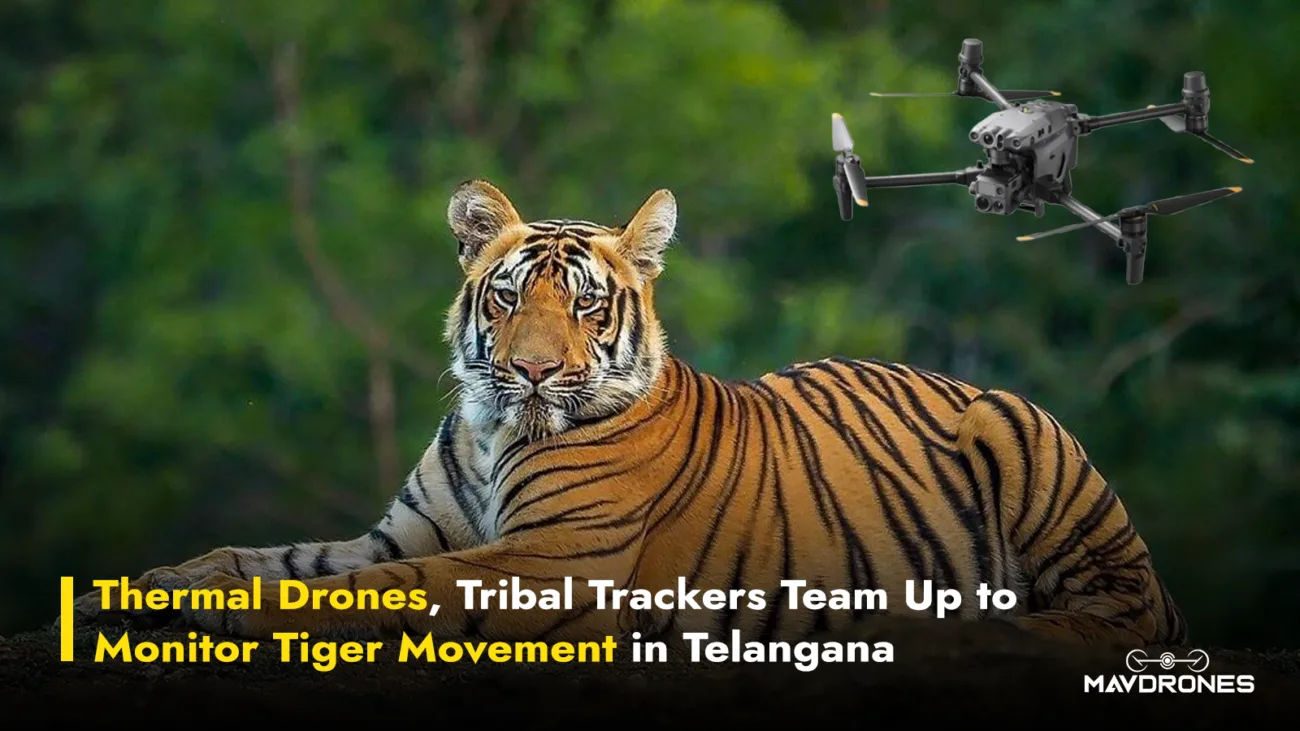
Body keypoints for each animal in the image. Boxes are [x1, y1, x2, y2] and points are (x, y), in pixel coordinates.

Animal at [66, 179, 1186, 649]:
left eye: (586, 304)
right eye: (508, 297)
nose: (529, 371)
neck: (491, 427)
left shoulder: (547, 559)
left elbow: (374, 588)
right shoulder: (399, 530)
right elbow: (269, 554)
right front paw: (154, 585)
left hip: (1020, 431)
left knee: (1119, 611)